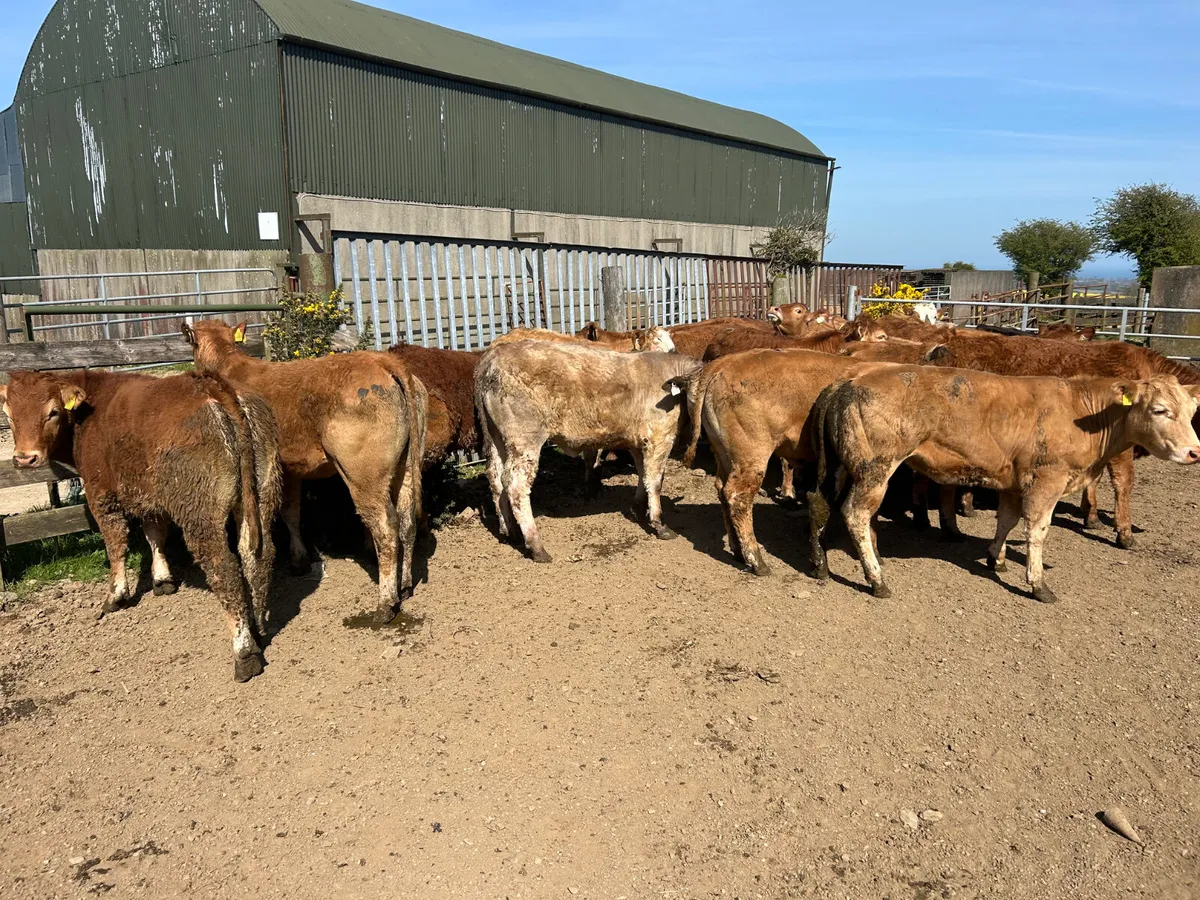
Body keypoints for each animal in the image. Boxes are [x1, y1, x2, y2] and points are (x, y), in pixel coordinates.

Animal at [1, 370, 282, 681]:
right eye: (8, 414)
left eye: (52, 412)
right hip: (262, 490)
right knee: (257, 555)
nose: (25, 457)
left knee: (225, 568)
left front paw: (115, 595)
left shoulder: (101, 493)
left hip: (200, 509)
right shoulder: (149, 495)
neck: (92, 409)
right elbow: (154, 534)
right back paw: (257, 626)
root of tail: (211, 383)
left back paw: (244, 652)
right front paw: (162, 579)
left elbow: (115, 543)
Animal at [183, 320, 427, 624]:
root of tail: (381, 361)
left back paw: (386, 604)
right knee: (407, 521)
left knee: (386, 528)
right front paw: (299, 560)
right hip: (407, 466)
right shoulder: (292, 469)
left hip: (364, 475)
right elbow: (291, 512)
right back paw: (404, 585)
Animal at [475, 341, 701, 561]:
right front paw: (659, 523)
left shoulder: (638, 442)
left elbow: (643, 475)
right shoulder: (660, 437)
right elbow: (655, 481)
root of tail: (494, 354)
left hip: (496, 437)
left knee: (496, 479)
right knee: (516, 485)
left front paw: (637, 508)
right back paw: (536, 546)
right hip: (525, 437)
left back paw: (510, 531)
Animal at [807, 367, 1200, 603]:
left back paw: (821, 564)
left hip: (841, 466)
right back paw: (876, 579)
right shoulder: (1047, 480)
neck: (1083, 412)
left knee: (820, 505)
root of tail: (850, 380)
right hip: (875, 467)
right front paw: (1038, 583)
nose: (1194, 451)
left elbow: (1006, 521)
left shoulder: (1013, 482)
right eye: (1160, 410)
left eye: (1191, 411)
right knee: (855, 514)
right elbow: (1037, 530)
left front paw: (995, 559)